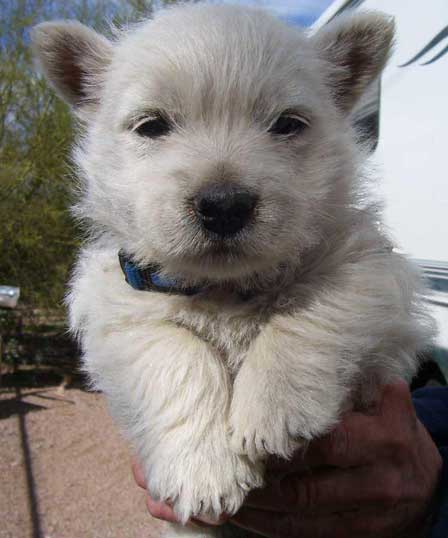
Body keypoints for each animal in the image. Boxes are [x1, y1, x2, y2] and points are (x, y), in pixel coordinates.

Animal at [33, 5, 436, 536]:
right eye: (152, 126)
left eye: (287, 124)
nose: (224, 205)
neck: (225, 289)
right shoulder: (117, 306)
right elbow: (173, 350)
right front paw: (201, 471)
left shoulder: (369, 272)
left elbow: (314, 311)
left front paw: (271, 412)